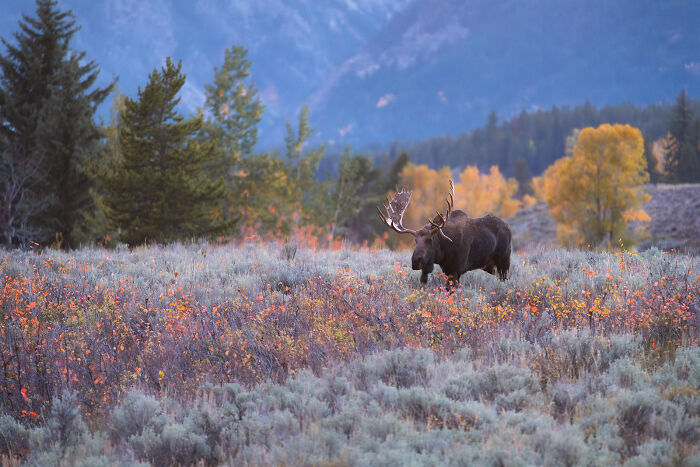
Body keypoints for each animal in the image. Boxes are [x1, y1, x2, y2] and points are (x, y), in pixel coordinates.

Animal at [377, 179, 511, 289]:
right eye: (415, 241)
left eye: (430, 239)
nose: (416, 261)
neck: (443, 253)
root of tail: (508, 227)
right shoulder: (446, 270)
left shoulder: (456, 270)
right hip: (491, 267)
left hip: (504, 263)